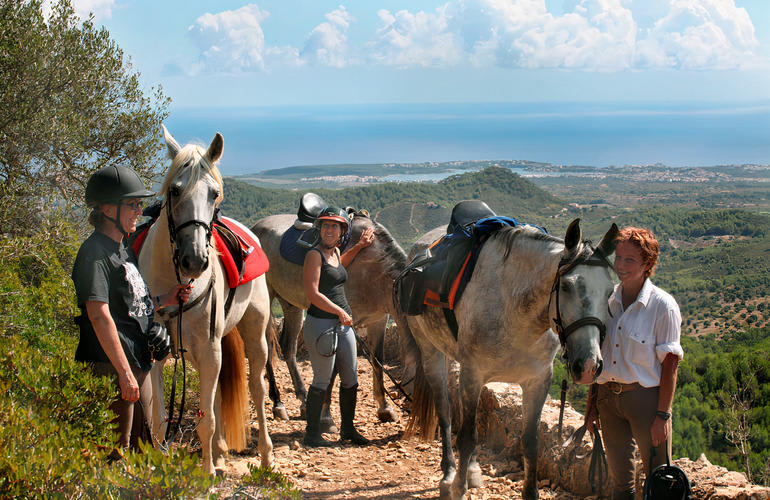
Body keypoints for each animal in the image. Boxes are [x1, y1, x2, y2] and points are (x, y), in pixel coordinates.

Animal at [138, 127, 272, 474]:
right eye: (174, 190)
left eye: (214, 193)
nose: (195, 260)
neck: (176, 284)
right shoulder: (161, 351)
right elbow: (160, 418)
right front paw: (161, 464)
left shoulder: (211, 350)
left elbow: (207, 419)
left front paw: (208, 471)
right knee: (216, 396)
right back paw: (221, 450)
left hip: (253, 333)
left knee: (257, 388)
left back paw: (265, 455)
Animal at [252, 213, 408, 424]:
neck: (373, 268)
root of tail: (254, 227)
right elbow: (334, 368)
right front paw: (326, 417)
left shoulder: (379, 321)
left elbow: (377, 362)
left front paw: (385, 408)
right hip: (267, 298)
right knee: (268, 348)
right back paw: (278, 404)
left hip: (290, 304)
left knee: (288, 347)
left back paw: (303, 401)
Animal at [400, 221, 616, 498]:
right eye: (567, 286)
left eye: (609, 291)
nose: (589, 365)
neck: (515, 308)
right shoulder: (472, 374)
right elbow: (467, 437)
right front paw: (458, 487)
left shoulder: (538, 380)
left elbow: (530, 441)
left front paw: (530, 492)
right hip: (431, 352)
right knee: (445, 412)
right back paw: (449, 474)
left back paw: (472, 470)